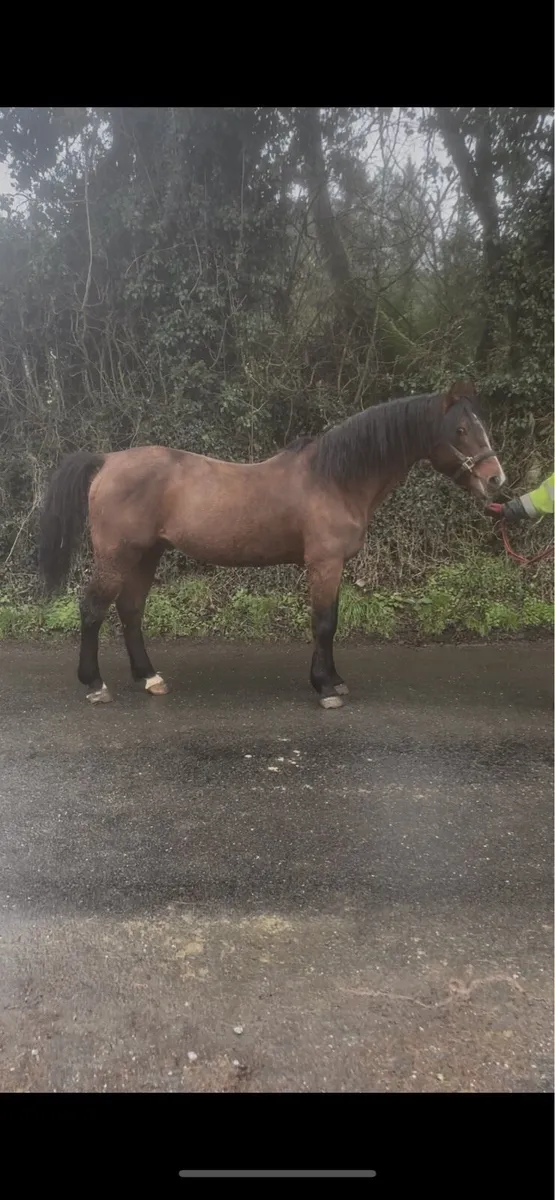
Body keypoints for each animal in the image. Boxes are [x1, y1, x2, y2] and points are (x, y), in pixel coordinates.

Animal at [38, 379, 505, 709]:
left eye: (482, 427)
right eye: (460, 429)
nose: (496, 480)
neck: (335, 478)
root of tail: (107, 461)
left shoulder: (332, 566)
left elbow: (331, 620)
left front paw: (334, 680)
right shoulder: (324, 563)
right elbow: (324, 622)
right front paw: (325, 688)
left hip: (146, 554)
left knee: (131, 611)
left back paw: (150, 678)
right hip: (117, 555)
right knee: (93, 608)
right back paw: (95, 684)